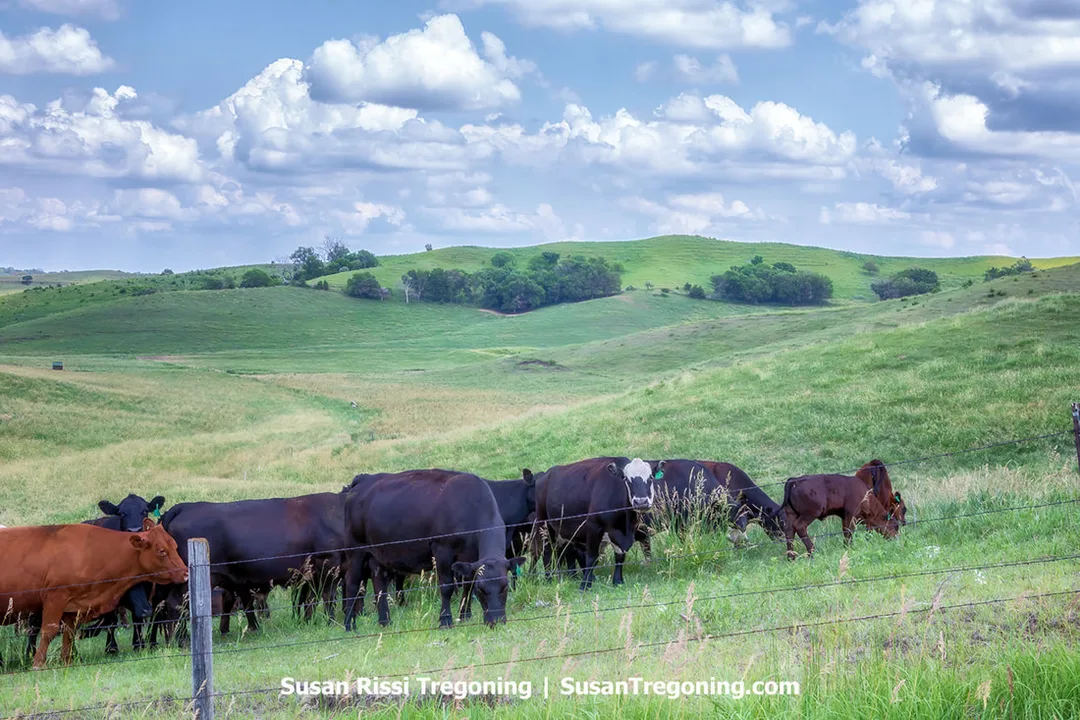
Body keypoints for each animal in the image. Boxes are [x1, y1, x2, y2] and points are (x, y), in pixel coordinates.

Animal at [0, 520, 188, 669]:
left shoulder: (73, 607)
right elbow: (48, 632)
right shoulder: (55, 598)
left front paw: (67, 662)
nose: (186, 572)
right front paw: (38, 664)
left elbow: (69, 634)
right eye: (162, 551)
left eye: (175, 547)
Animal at [343, 469, 522, 629]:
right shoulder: (442, 550)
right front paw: (445, 620)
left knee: (380, 583)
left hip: (377, 554)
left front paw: (465, 615)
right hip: (355, 550)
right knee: (352, 584)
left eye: (505, 586)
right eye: (482, 590)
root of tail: (363, 479)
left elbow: (467, 584)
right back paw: (350, 625)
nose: (496, 621)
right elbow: (447, 586)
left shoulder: (471, 557)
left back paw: (385, 621)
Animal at [533, 457, 662, 591]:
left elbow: (620, 556)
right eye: (626, 479)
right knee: (547, 553)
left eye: (651, 477)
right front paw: (585, 585)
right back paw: (549, 579)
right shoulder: (593, 527)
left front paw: (618, 581)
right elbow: (591, 558)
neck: (624, 524)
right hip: (545, 526)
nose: (641, 502)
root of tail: (544, 475)